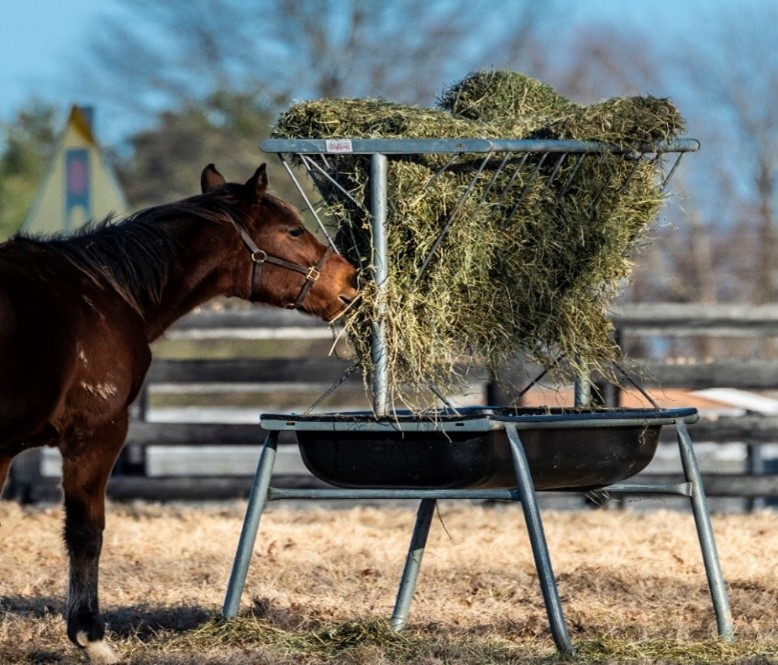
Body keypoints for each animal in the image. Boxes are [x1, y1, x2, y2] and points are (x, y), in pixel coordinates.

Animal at [0, 163, 360, 663]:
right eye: (292, 229)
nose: (351, 279)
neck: (106, 291)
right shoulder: (97, 436)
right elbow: (86, 533)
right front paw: (91, 637)